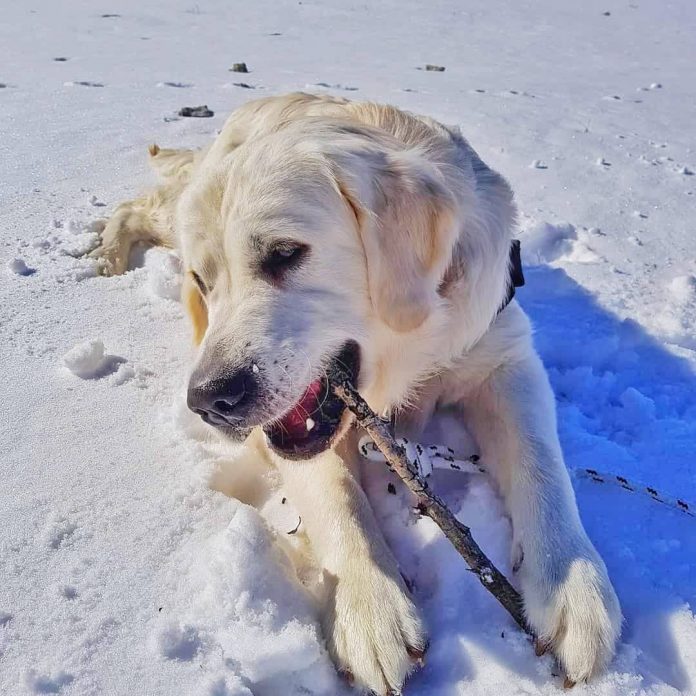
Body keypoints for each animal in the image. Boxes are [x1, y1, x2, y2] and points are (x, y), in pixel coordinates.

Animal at [92, 94, 620, 696]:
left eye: (284, 254)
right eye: (202, 283)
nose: (209, 400)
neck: (409, 352)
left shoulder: (504, 355)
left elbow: (541, 465)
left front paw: (571, 587)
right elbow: (335, 492)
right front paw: (370, 608)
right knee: (137, 204)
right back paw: (106, 252)